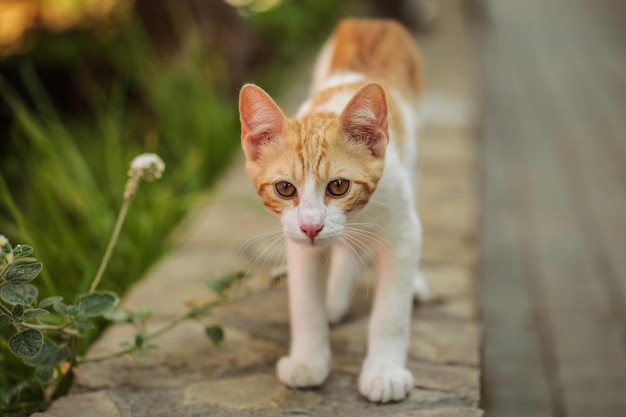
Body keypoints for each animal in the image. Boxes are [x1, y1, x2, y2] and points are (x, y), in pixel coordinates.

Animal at [236, 17, 426, 402]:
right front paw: (309, 361)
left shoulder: (402, 232)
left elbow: (391, 313)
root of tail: (371, 21)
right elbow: (304, 303)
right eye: (285, 188)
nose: (312, 227)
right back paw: (335, 296)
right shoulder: (296, 238)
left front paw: (384, 373)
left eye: (339, 186)